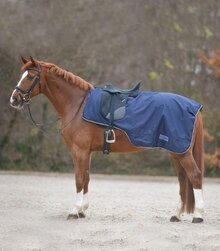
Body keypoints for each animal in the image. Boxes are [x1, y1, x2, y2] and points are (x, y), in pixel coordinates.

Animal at [9, 57, 205, 224]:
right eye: (22, 76)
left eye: (31, 77)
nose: (14, 99)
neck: (77, 105)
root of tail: (193, 107)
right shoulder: (87, 152)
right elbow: (86, 178)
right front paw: (82, 210)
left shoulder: (79, 150)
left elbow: (79, 179)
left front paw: (74, 211)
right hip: (175, 152)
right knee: (183, 180)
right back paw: (176, 214)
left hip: (181, 152)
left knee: (194, 175)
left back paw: (198, 215)